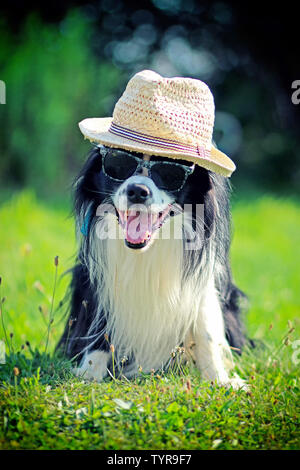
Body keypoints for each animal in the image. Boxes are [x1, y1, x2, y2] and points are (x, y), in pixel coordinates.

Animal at [56, 69, 248, 390]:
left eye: (170, 171)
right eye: (117, 163)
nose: (137, 191)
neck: (147, 248)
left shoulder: (203, 285)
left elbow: (207, 330)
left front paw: (219, 380)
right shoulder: (95, 277)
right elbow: (100, 322)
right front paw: (90, 372)